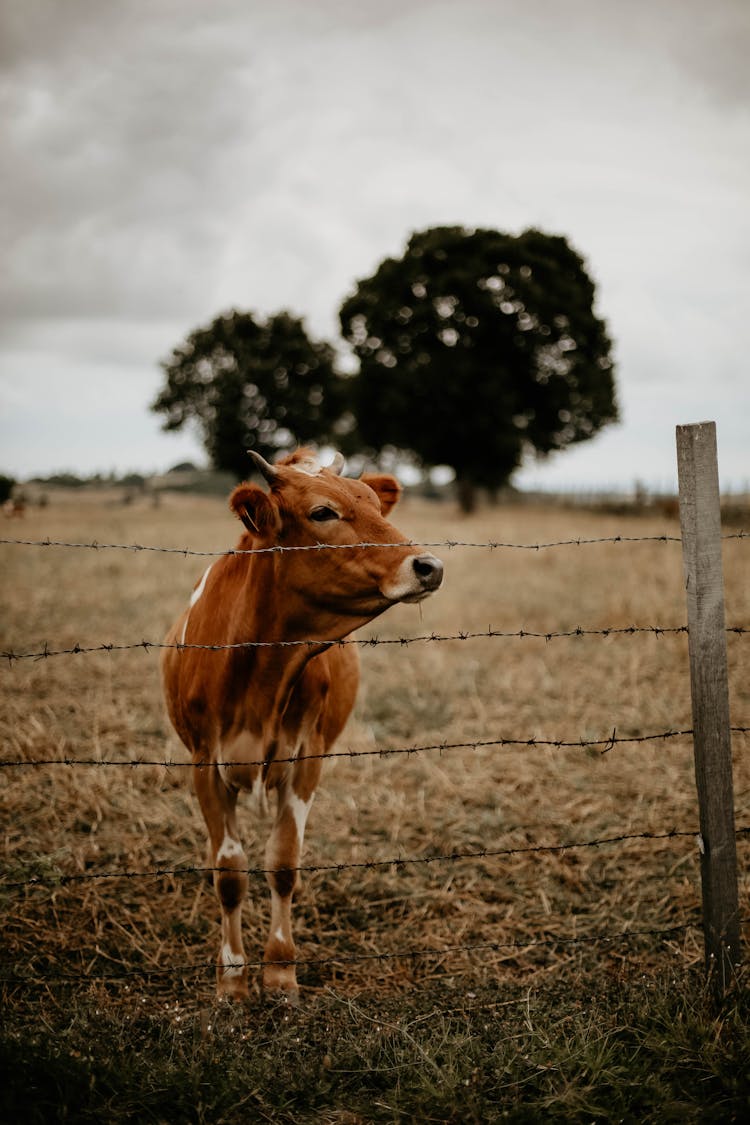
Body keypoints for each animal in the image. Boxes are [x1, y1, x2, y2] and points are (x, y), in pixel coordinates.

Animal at [163, 447, 445, 1003]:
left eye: (373, 503)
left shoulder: (305, 759)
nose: (429, 566)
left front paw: (279, 972)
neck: (258, 669)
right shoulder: (204, 765)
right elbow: (229, 873)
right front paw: (232, 980)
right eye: (322, 512)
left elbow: (283, 863)